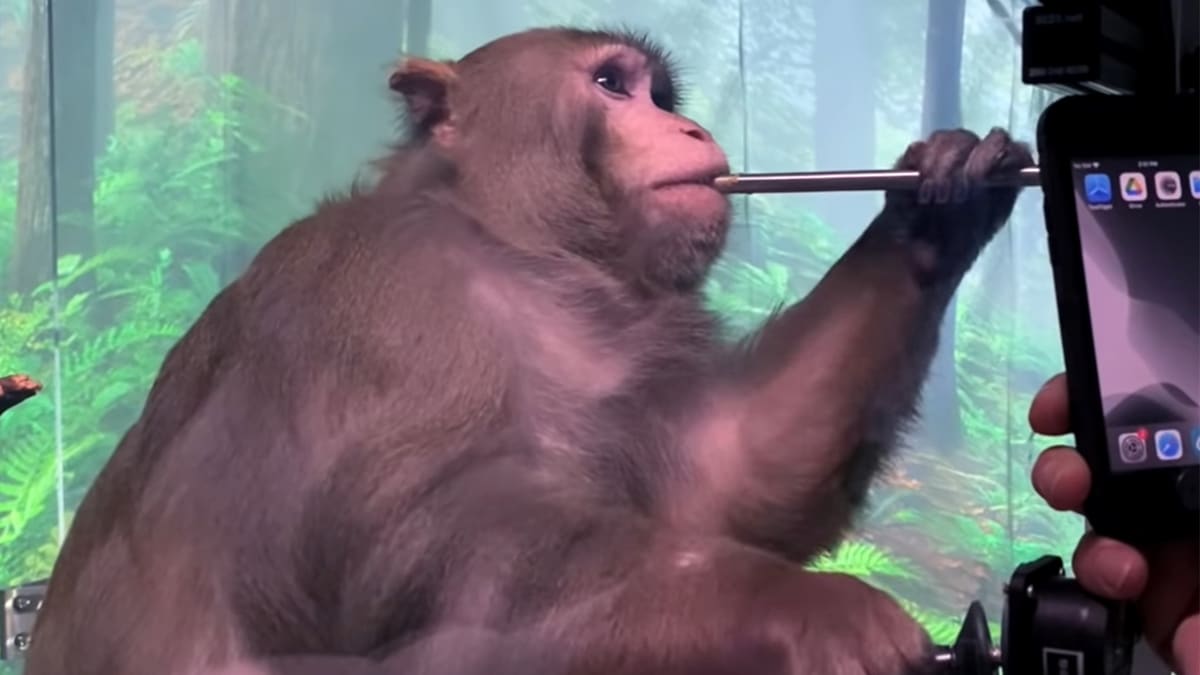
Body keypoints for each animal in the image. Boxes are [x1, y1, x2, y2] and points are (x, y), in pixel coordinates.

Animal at [23, 27, 1034, 675]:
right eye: (612, 87)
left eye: (660, 95)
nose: (693, 128)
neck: (511, 250)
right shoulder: (396, 306)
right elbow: (414, 553)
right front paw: (803, 609)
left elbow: (734, 473)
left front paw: (938, 208)